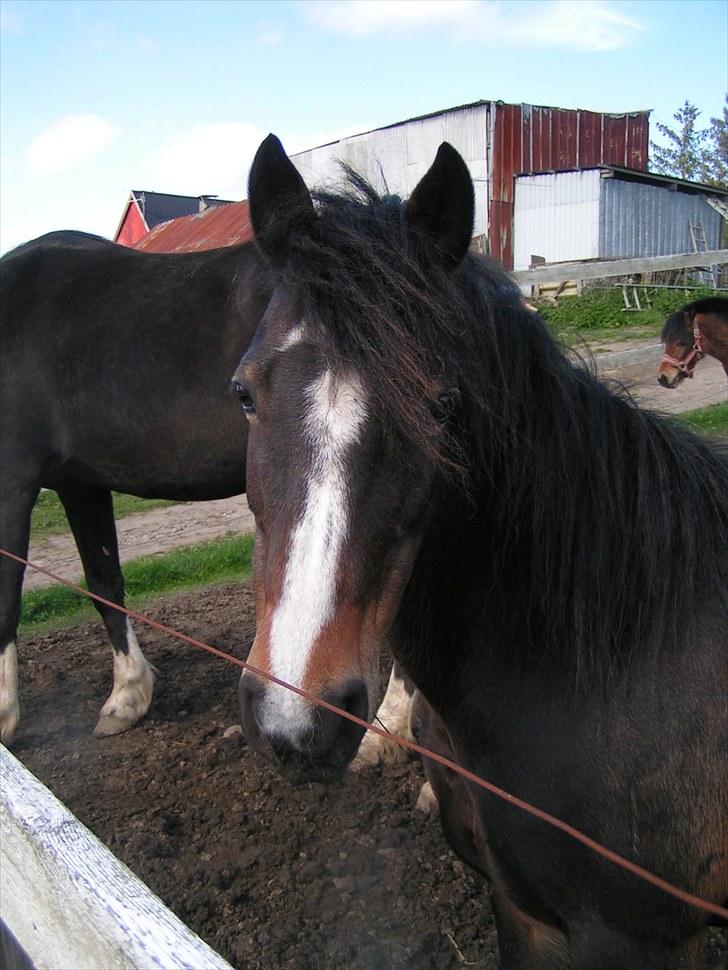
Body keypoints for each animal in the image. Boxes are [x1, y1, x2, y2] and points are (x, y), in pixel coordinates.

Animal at [0, 231, 272, 744]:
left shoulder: (11, 484)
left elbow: (5, 595)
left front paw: (4, 713)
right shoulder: (79, 485)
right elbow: (104, 582)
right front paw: (128, 695)